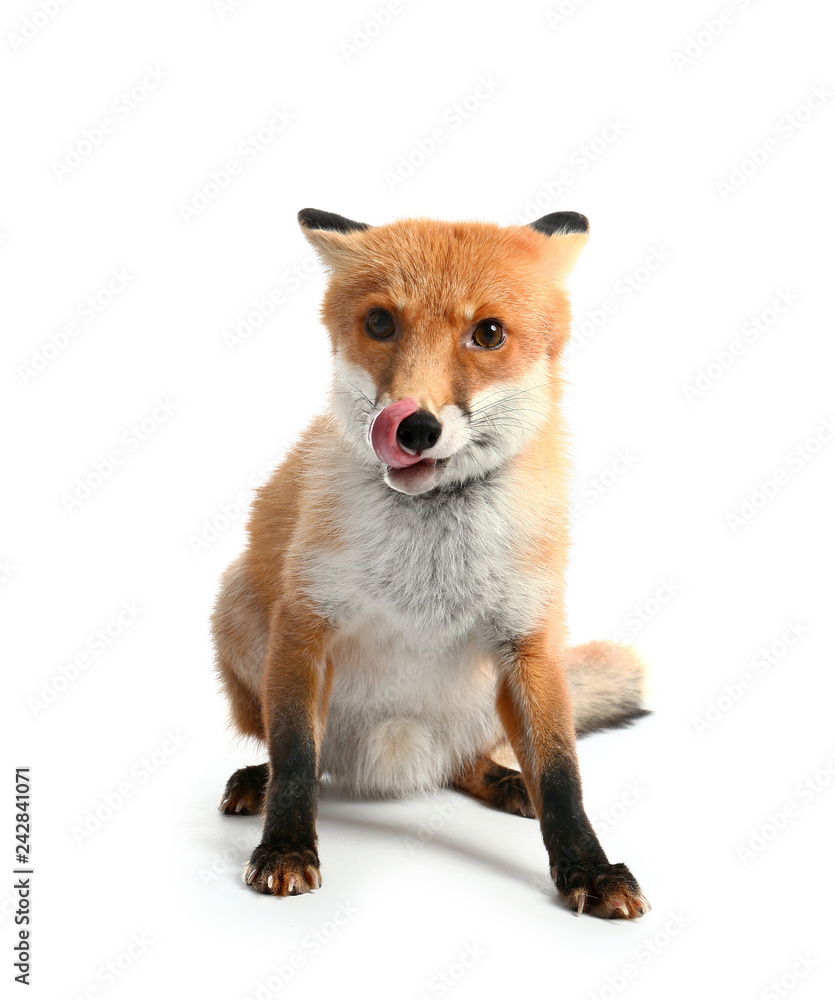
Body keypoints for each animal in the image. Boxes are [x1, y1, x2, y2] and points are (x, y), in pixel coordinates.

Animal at [212, 207, 651, 918]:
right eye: (380, 323)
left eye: (489, 333)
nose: (412, 427)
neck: (430, 548)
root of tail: (393, 766)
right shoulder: (304, 622)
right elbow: (297, 758)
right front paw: (285, 849)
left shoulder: (531, 640)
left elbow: (562, 774)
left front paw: (588, 866)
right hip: (235, 609)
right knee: (302, 758)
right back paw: (259, 778)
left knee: (469, 763)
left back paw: (504, 780)